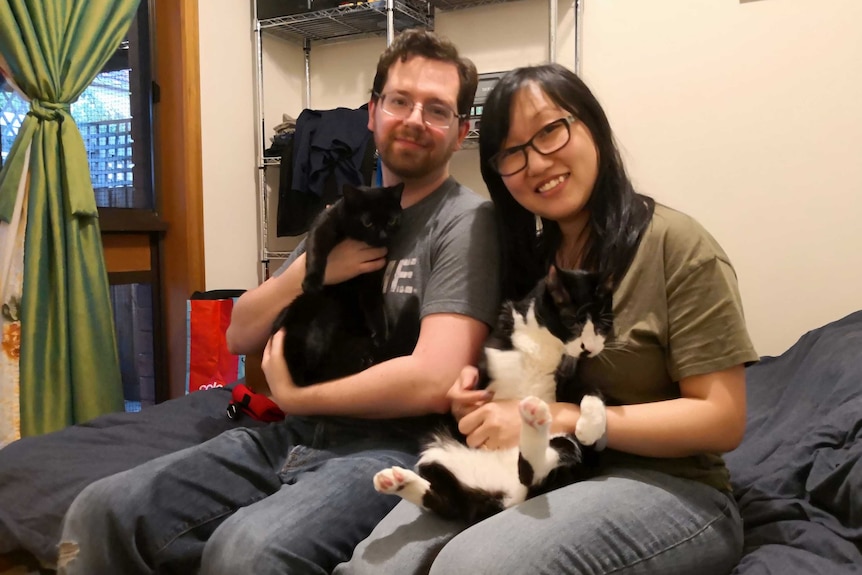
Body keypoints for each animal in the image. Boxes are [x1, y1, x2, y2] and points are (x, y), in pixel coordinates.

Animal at [276, 183, 406, 388]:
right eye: (368, 223)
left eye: (392, 221)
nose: (383, 235)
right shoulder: (323, 226)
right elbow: (316, 251)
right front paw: (312, 281)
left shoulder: (372, 278)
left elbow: (374, 305)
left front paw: (380, 334)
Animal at [374, 268, 612, 524]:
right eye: (572, 322)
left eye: (602, 325)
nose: (589, 349)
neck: (545, 346)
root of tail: (508, 495)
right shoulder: (486, 365)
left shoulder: (567, 380)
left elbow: (591, 390)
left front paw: (591, 428)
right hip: (436, 453)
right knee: (445, 501)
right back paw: (394, 481)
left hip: (563, 443)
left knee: (534, 472)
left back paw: (534, 419)